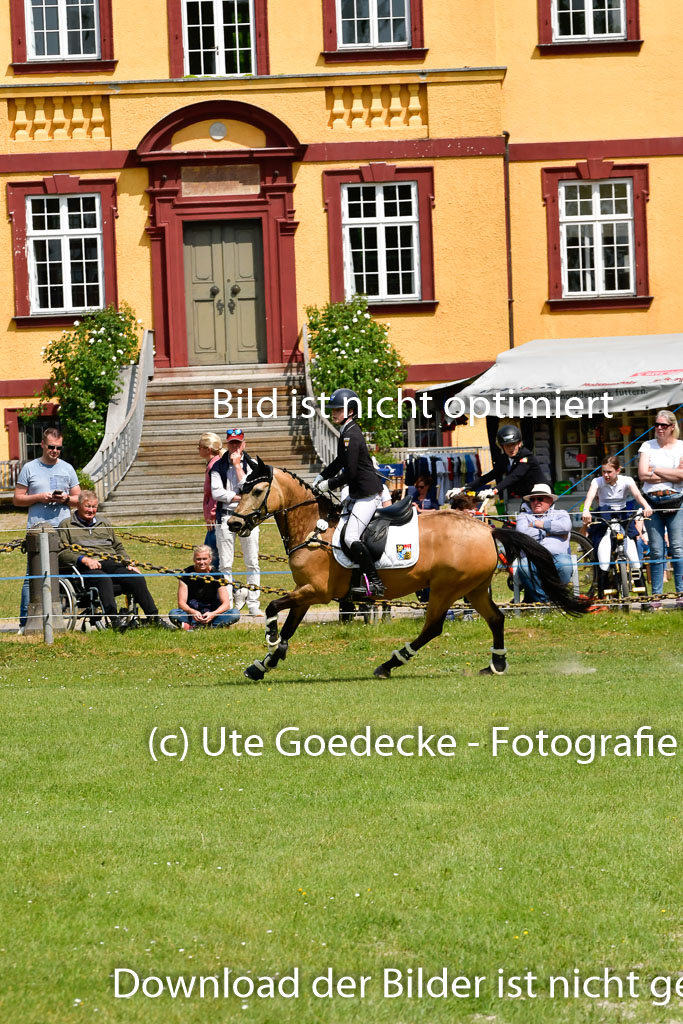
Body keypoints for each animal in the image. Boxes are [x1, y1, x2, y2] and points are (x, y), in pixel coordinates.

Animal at [227, 462, 589, 684]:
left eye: (256, 491)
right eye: (241, 489)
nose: (232, 523)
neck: (313, 530)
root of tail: (487, 530)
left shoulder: (317, 591)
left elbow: (273, 608)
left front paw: (270, 638)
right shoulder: (304, 594)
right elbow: (289, 626)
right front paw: (264, 664)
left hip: (445, 588)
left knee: (433, 627)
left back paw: (391, 663)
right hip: (473, 588)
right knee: (496, 618)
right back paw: (495, 664)